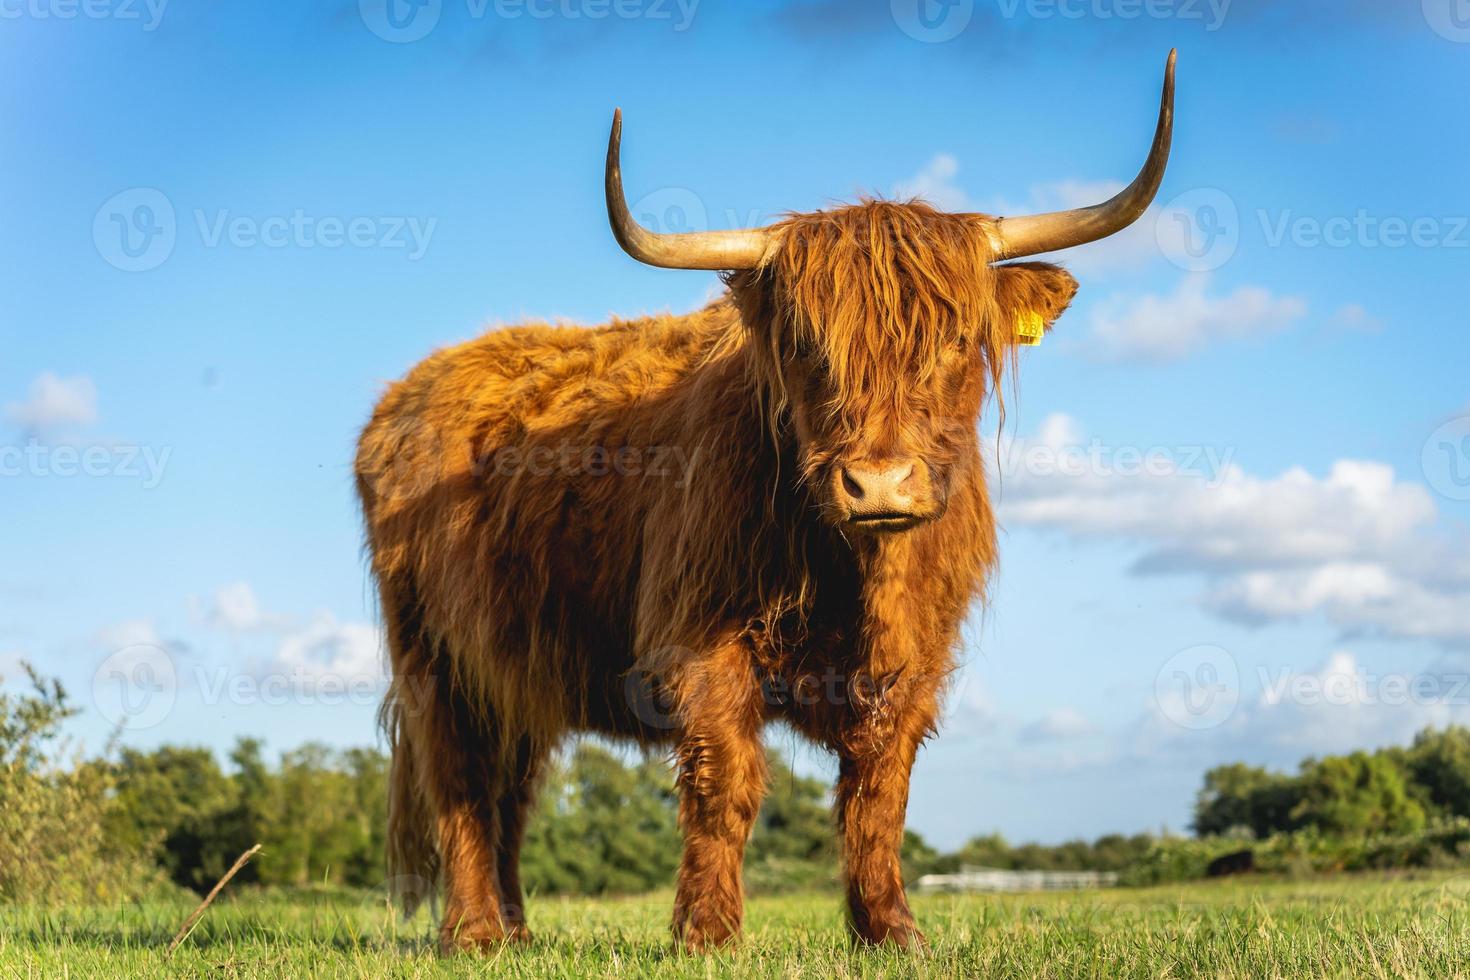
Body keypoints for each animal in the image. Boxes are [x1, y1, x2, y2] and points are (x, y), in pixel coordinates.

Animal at [361, 51, 1176, 952]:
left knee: (510, 791)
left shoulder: (917, 662)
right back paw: (473, 932)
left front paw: (890, 929)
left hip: (516, 673)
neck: (858, 573)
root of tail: (417, 384)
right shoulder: (702, 646)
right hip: (434, 660)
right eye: (809, 347)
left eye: (957, 341)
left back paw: (516, 931)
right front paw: (707, 933)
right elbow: (726, 788)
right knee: (461, 784)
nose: (878, 483)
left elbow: (879, 797)